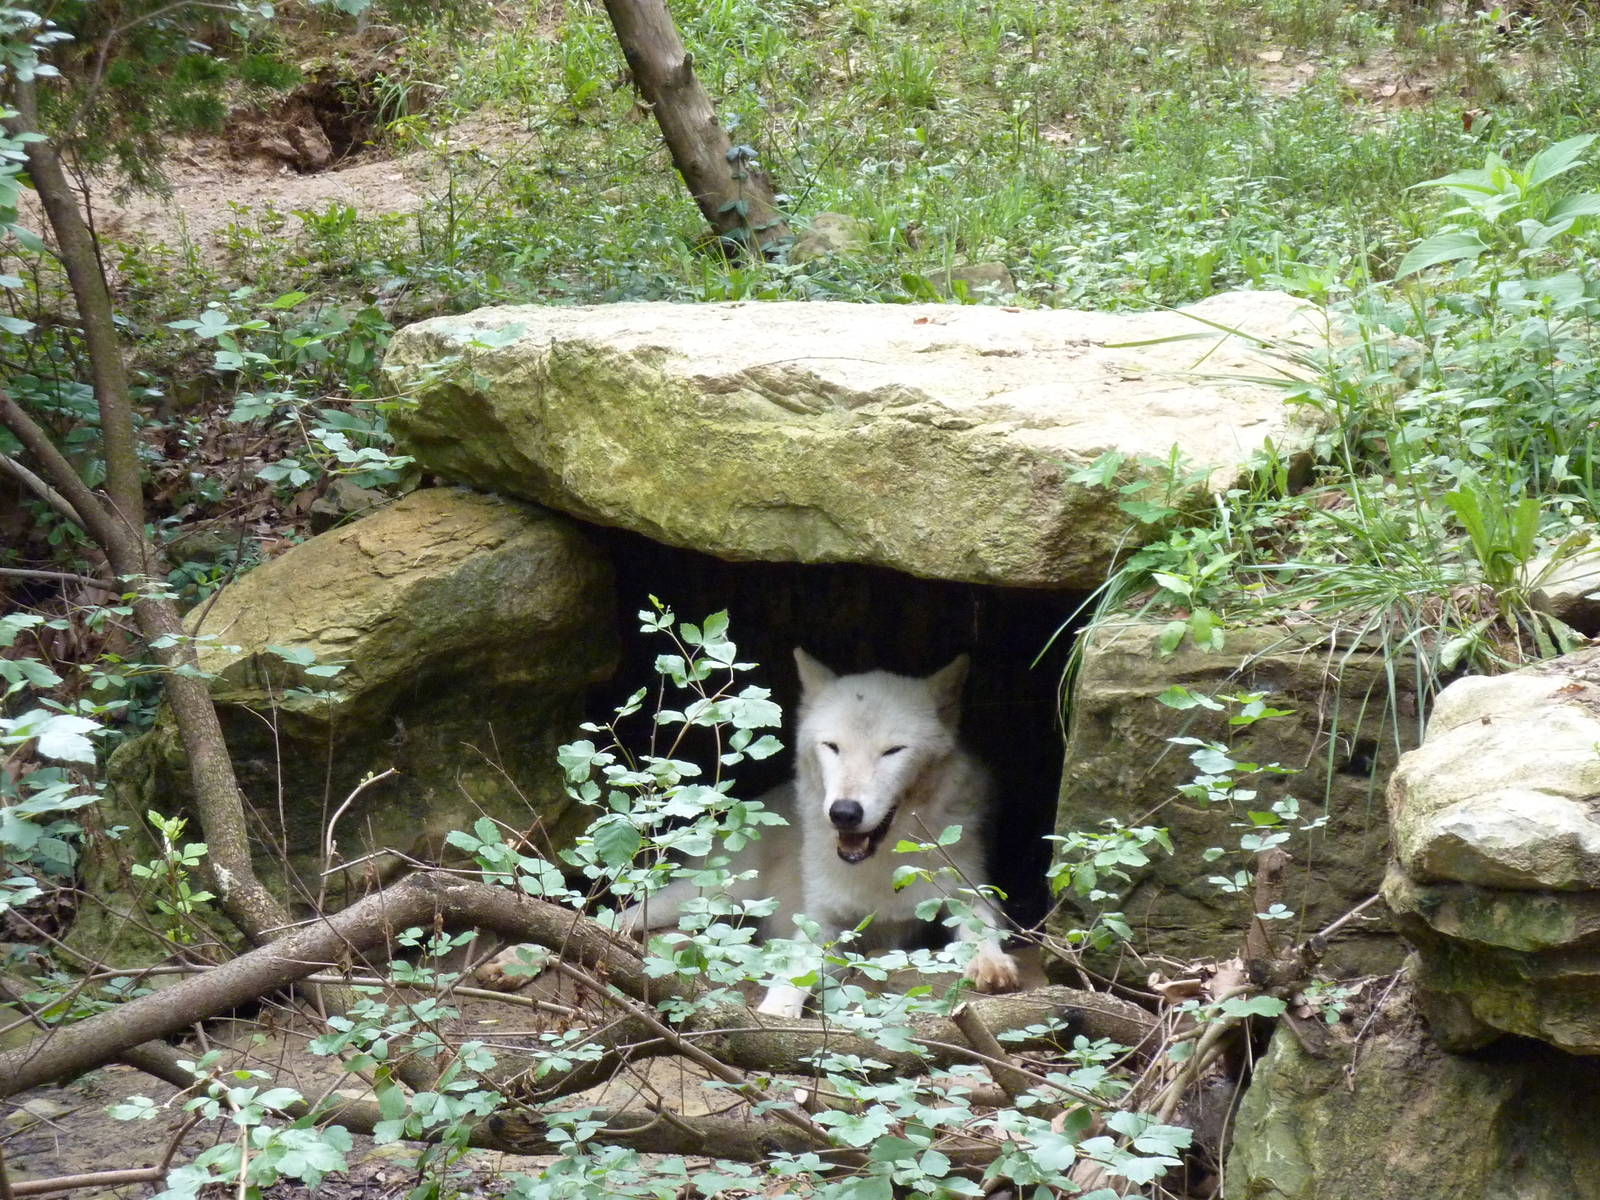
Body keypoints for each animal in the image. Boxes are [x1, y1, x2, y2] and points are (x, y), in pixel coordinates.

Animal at [618, 649, 1021, 1019]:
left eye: (893, 751)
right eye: (833, 747)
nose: (844, 812)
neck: (881, 866)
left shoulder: (968, 891)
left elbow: (980, 926)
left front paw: (991, 964)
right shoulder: (821, 922)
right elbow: (796, 969)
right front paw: (777, 1012)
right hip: (717, 892)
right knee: (636, 911)